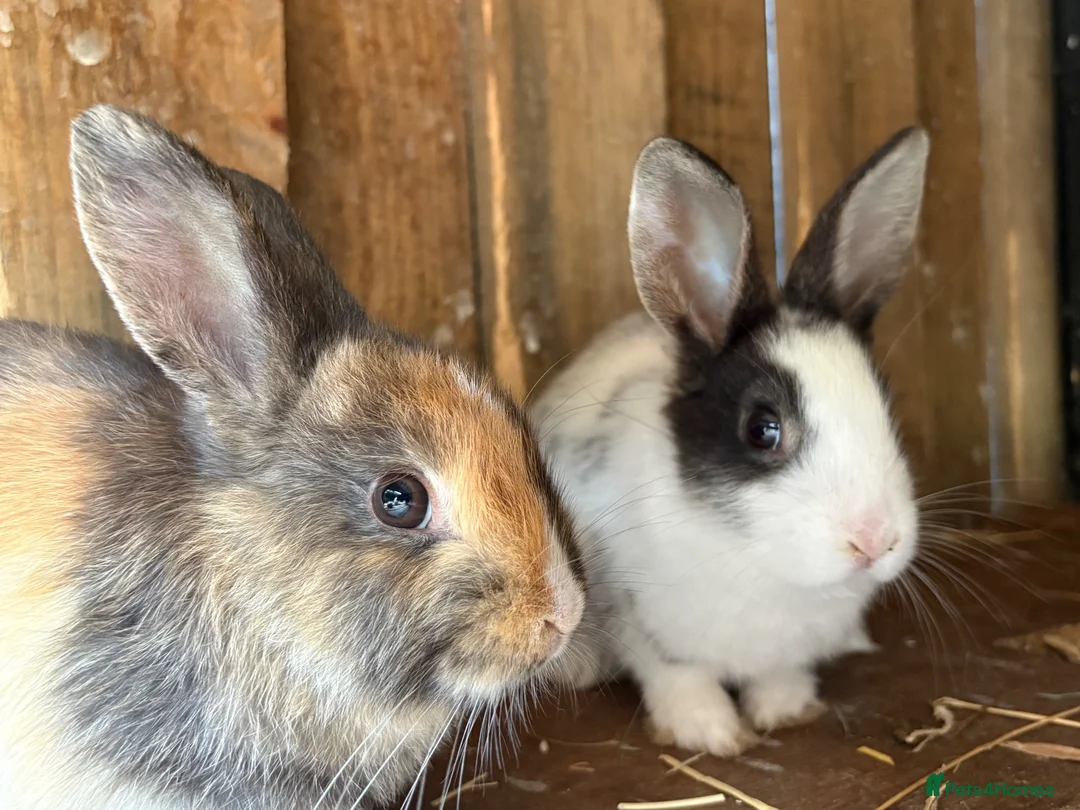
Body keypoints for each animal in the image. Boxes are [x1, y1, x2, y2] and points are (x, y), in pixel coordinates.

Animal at [534, 128, 929, 756]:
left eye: (885, 405)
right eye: (762, 429)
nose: (873, 541)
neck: (761, 560)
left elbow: (781, 674)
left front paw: (785, 710)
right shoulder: (643, 623)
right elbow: (678, 675)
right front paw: (711, 733)